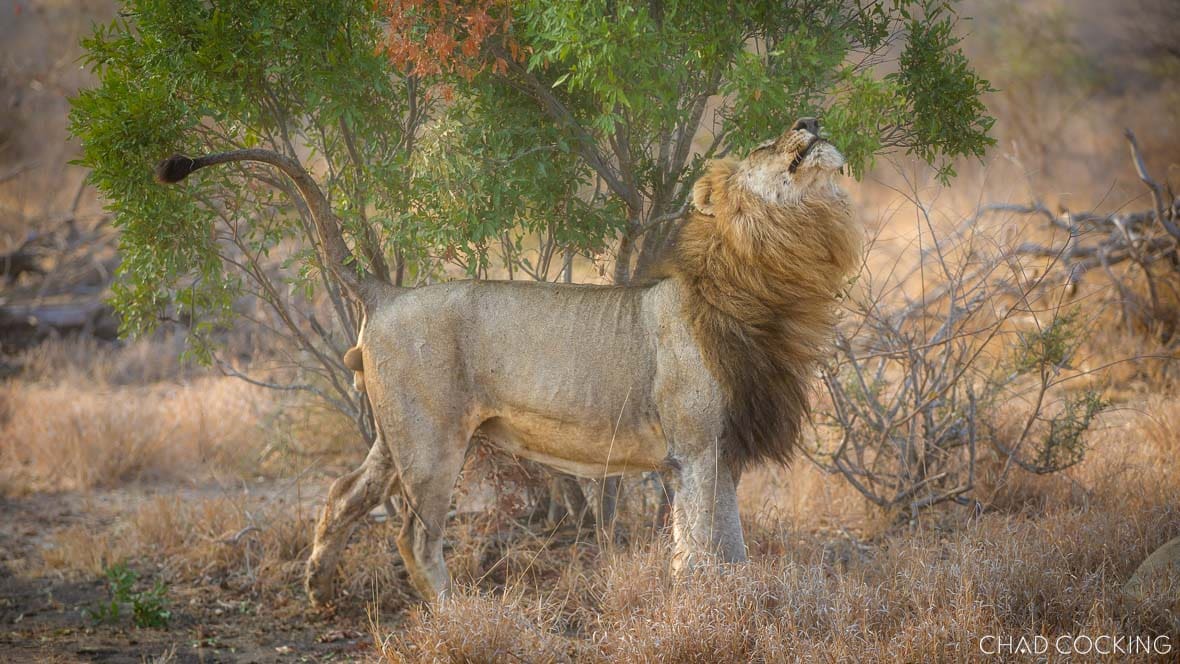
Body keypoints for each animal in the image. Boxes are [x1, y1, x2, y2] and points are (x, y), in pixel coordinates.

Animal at [154, 116, 861, 606]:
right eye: (768, 143)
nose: (810, 119)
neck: (778, 267)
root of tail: (385, 291)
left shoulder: (724, 449)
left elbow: (731, 545)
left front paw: (741, 601)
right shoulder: (694, 450)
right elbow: (704, 547)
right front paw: (709, 609)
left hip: (394, 435)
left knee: (342, 497)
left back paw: (320, 593)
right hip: (434, 444)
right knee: (412, 535)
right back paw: (455, 613)